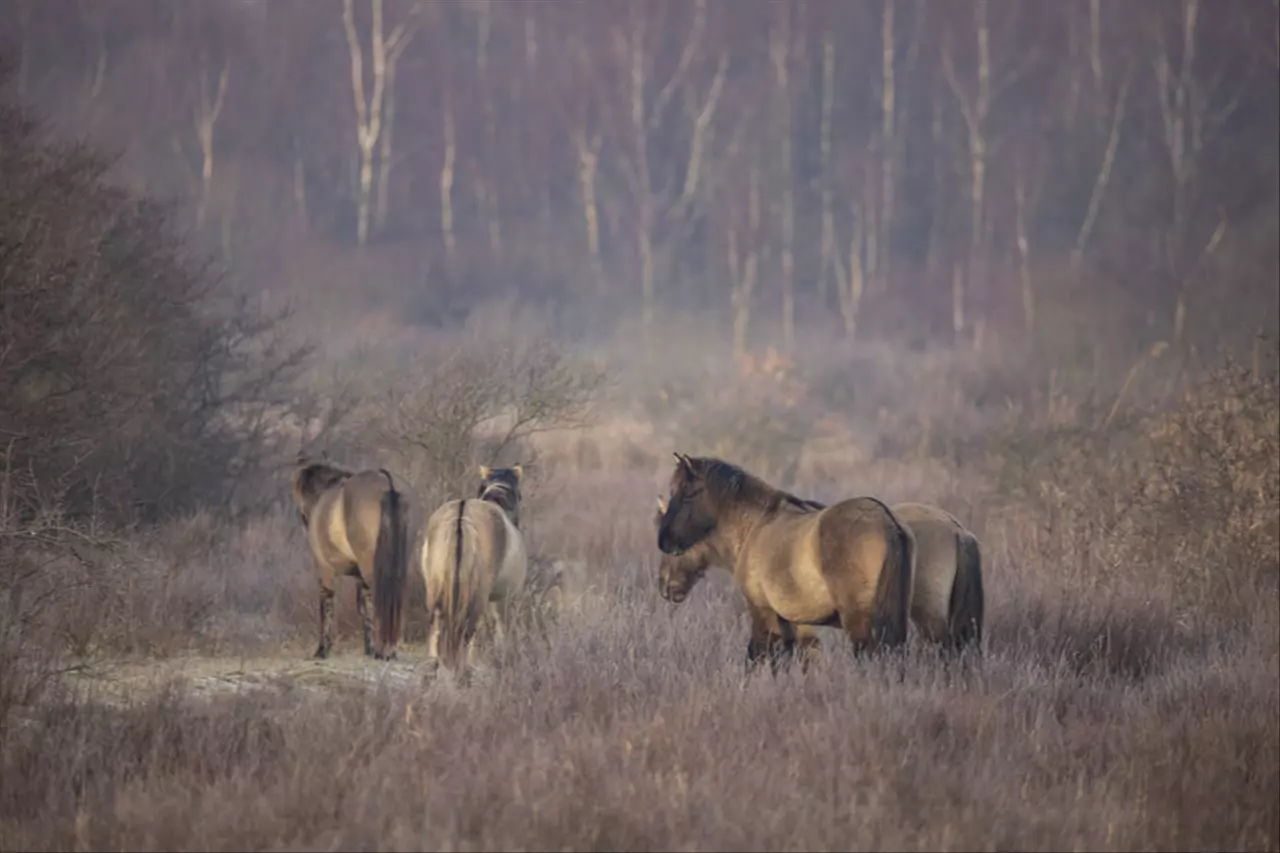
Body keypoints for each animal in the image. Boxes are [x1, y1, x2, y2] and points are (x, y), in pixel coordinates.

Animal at [291, 450, 407, 655]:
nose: (304, 519)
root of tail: (386, 485)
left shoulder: (325, 569)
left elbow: (326, 603)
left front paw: (323, 649)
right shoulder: (358, 576)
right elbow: (363, 607)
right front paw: (369, 647)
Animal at [422, 461, 527, 681]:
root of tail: (461, 516)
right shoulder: (502, 598)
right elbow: (500, 629)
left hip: (436, 590)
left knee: (436, 627)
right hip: (477, 595)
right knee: (467, 630)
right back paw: (462, 674)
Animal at [655, 450, 916, 671]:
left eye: (688, 494)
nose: (663, 541)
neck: (756, 524)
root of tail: (888, 522)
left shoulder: (763, 615)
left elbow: (755, 658)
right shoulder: (794, 625)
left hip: (859, 624)